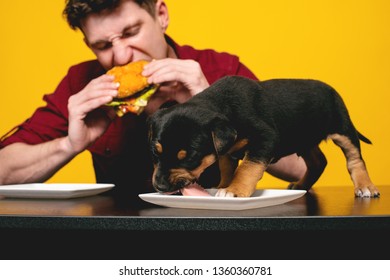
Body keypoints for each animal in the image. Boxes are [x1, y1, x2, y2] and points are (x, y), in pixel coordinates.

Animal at [148, 74, 380, 197]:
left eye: (189, 158)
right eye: (155, 153)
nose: (160, 187)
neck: (223, 105)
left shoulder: (265, 138)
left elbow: (247, 168)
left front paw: (234, 191)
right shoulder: (226, 149)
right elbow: (227, 168)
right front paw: (223, 186)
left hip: (342, 128)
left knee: (355, 158)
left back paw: (365, 187)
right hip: (302, 139)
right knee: (318, 161)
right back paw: (301, 186)